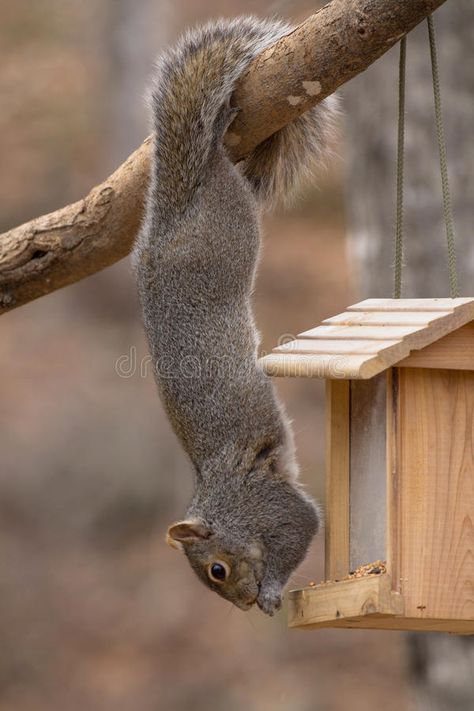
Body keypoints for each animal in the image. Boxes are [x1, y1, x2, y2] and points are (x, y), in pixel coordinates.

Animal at [134, 18, 336, 616]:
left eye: (217, 571)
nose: (243, 605)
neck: (224, 506)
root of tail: (171, 220)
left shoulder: (270, 505)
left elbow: (304, 524)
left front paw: (271, 591)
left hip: (229, 225)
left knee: (219, 167)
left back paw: (221, 133)